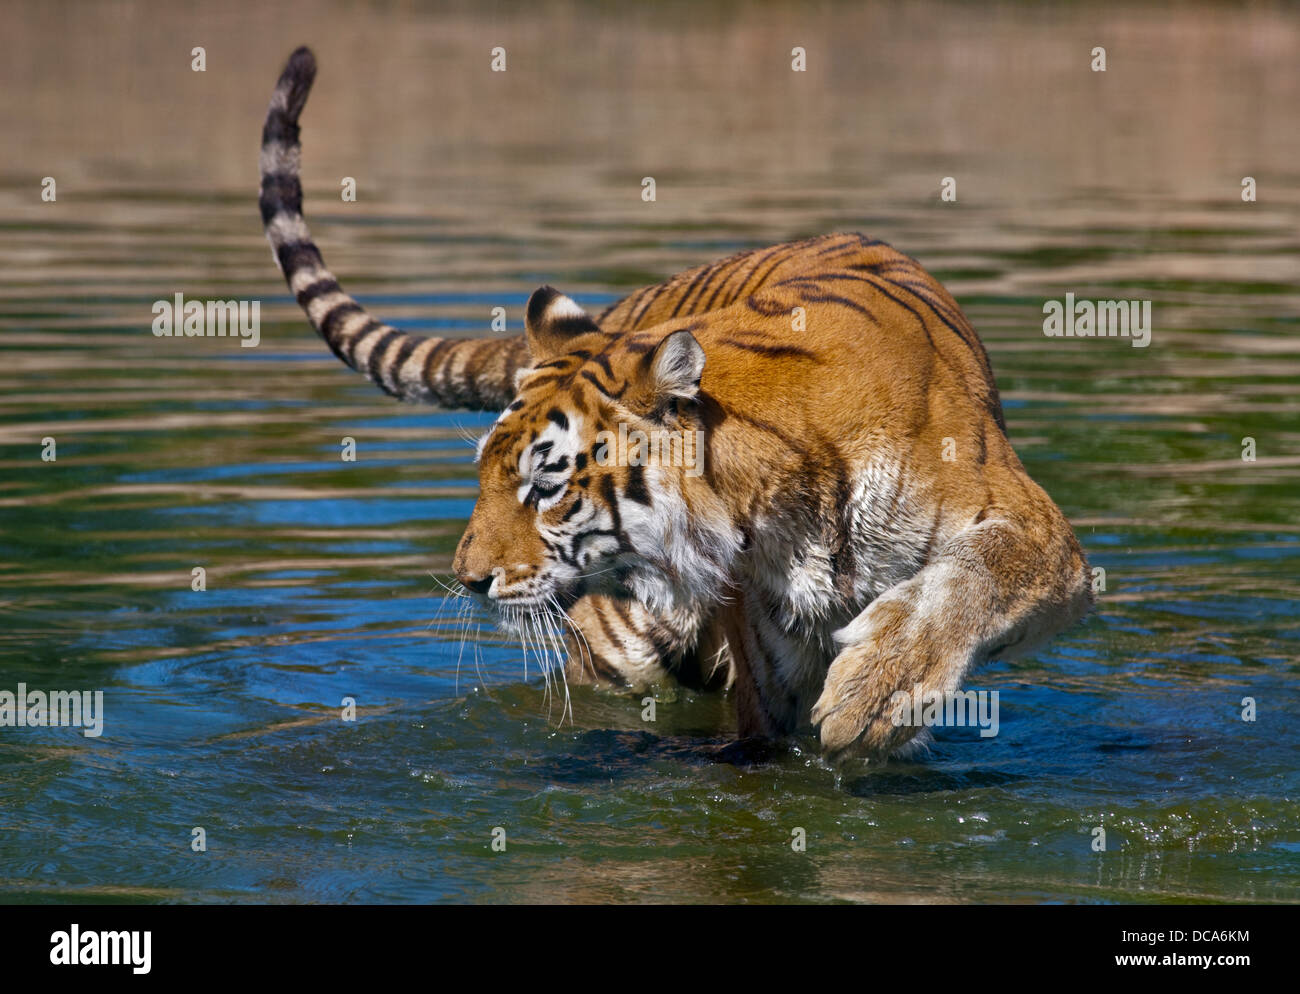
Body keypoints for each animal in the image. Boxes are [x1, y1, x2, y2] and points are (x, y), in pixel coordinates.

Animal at [258, 48, 1092, 758]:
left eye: (545, 486)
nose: (467, 582)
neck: (783, 510)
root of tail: (625, 308)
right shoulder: (765, 681)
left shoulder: (1043, 539)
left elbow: (971, 577)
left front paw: (880, 691)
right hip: (626, 641)